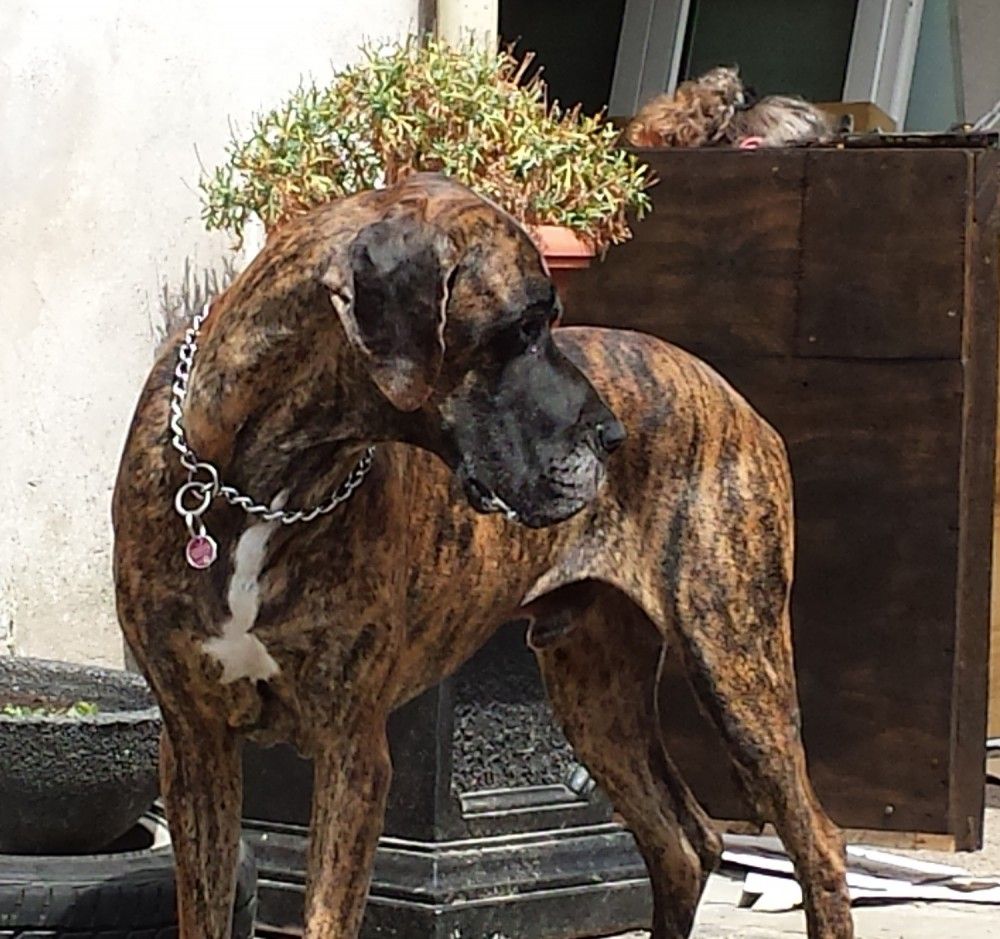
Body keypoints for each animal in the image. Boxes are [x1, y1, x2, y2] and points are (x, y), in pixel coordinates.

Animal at [112, 173, 853, 939]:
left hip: (736, 659)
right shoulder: (195, 744)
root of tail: (739, 400)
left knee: (817, 844)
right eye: (523, 328)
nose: (612, 436)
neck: (263, 482)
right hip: (597, 691)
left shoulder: (352, 749)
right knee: (683, 839)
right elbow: (203, 905)